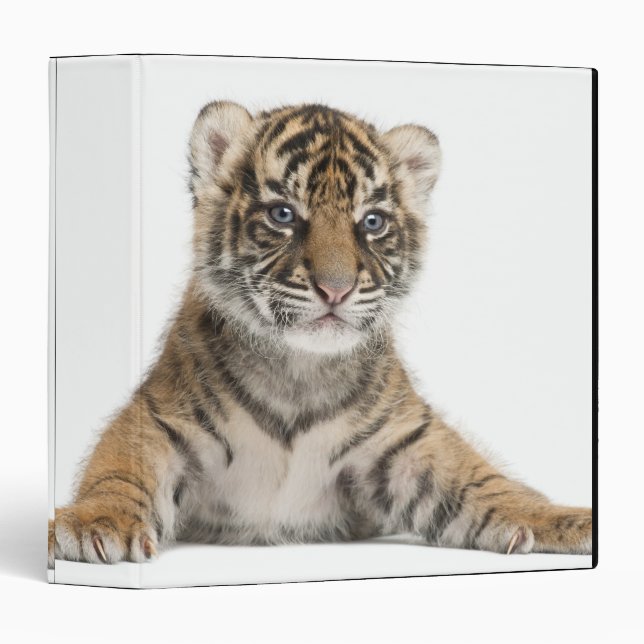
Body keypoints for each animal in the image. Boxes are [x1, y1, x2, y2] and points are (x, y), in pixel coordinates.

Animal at [48, 101, 592, 567]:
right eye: (283, 214)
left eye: (371, 222)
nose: (336, 289)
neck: (300, 370)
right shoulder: (160, 417)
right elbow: (120, 469)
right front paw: (96, 522)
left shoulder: (408, 443)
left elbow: (485, 481)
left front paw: (568, 519)